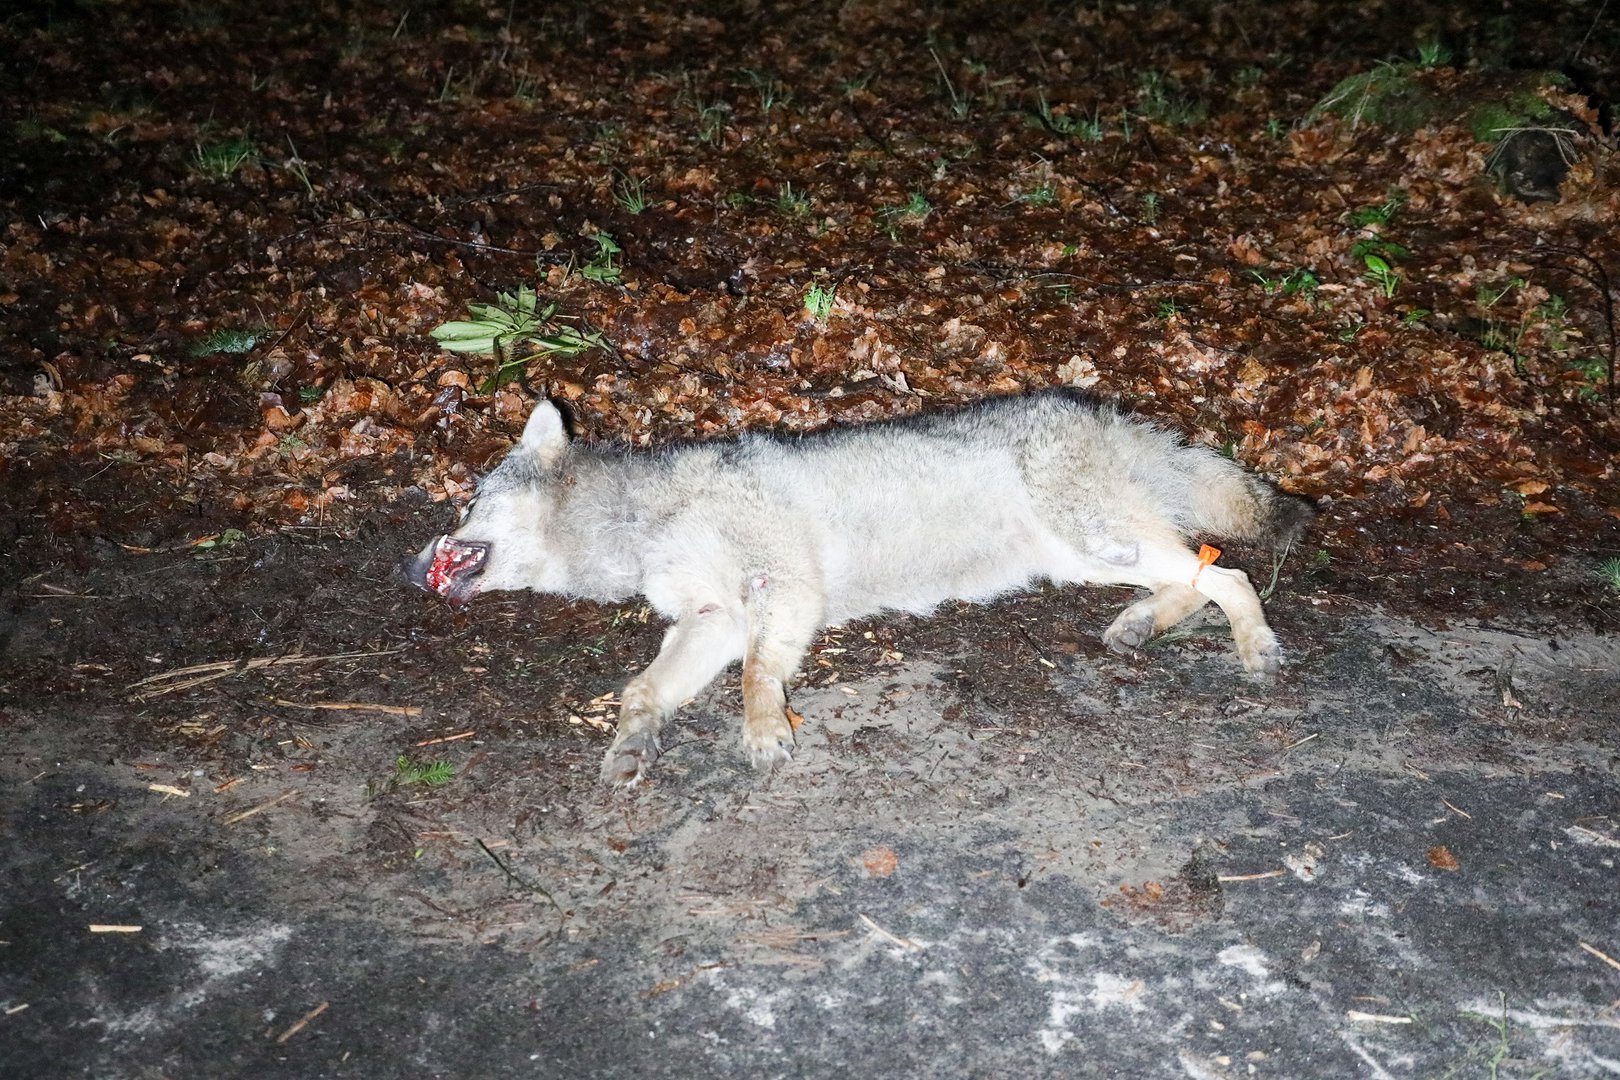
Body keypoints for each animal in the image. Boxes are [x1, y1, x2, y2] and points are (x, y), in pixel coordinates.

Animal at [405, 389, 1312, 786]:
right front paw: (633, 744)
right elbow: (641, 691)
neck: (640, 522)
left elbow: (755, 676)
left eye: (467, 502)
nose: (412, 566)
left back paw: (1253, 647)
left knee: (1228, 573)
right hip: (1085, 556)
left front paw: (762, 730)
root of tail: (1103, 409)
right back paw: (1141, 624)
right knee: (1196, 572)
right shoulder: (711, 616)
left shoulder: (781, 591)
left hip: (1095, 539)